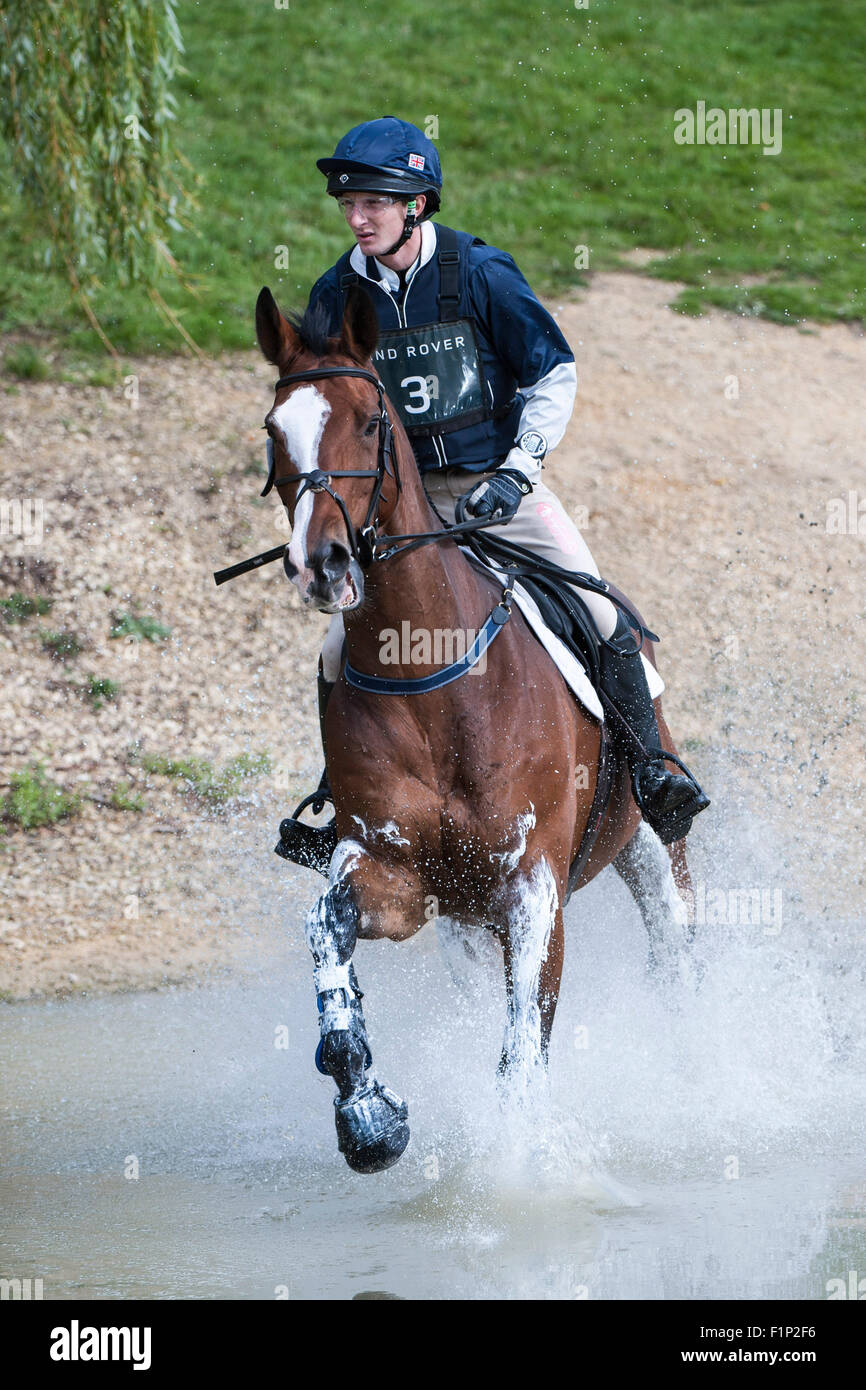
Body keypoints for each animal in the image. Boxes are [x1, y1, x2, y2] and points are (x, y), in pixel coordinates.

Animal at [254, 282, 695, 1173]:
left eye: (371, 421)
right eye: (274, 432)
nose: (322, 565)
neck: (432, 680)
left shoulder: (533, 887)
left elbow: (523, 1047)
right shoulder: (396, 875)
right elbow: (326, 929)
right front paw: (368, 1115)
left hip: (650, 839)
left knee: (671, 956)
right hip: (462, 923)